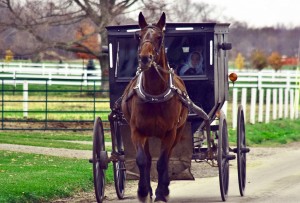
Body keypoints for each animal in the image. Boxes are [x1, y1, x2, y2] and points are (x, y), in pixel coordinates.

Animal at [121, 12, 188, 201]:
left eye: (160, 37)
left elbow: (163, 162)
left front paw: (161, 193)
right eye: (139, 36)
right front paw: (143, 191)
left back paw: (164, 188)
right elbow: (142, 160)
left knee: (167, 156)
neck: (155, 95)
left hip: (178, 131)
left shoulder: (170, 133)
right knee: (148, 159)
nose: (145, 58)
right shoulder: (137, 131)